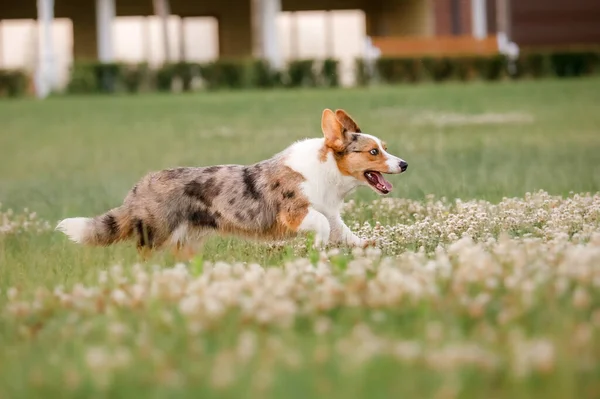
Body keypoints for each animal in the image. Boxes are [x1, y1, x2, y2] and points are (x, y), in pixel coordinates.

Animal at [56, 109, 408, 260]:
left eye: (385, 147)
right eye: (373, 152)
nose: (404, 164)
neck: (328, 172)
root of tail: (138, 188)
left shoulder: (334, 217)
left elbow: (350, 236)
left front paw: (374, 249)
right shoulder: (295, 212)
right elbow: (319, 225)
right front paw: (317, 249)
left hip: (187, 241)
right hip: (157, 233)